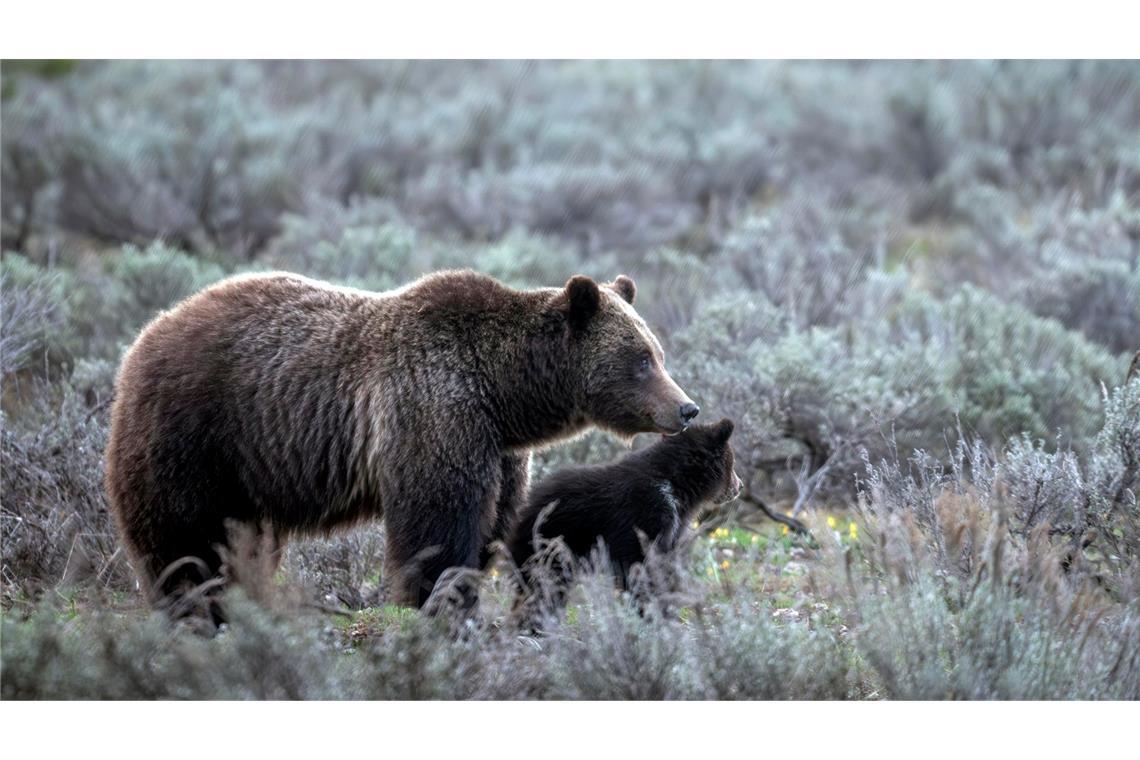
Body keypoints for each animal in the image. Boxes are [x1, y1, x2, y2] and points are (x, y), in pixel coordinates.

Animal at [107, 270, 697, 615]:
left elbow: (492, 523)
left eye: (657, 353)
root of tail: (145, 334)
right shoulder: (435, 409)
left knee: (243, 540)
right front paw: (437, 599)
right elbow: (437, 519)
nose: (686, 408)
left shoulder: (498, 449)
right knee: (183, 534)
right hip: (196, 432)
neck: (505, 393)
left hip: (247, 470)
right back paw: (192, 603)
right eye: (641, 359)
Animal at [506, 417, 738, 610]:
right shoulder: (646, 513)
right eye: (732, 463)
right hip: (553, 542)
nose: (739, 486)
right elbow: (639, 563)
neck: (676, 486)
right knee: (543, 584)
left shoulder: (672, 525)